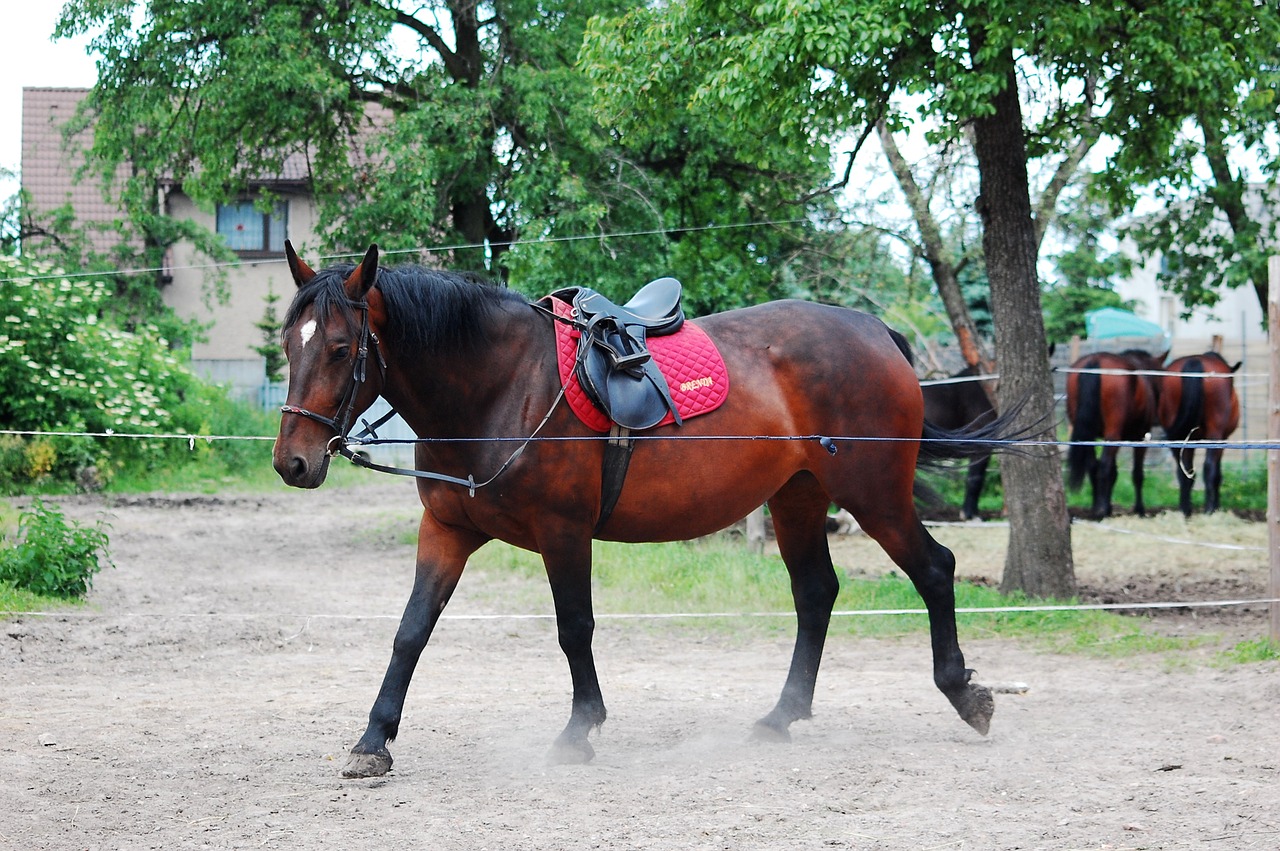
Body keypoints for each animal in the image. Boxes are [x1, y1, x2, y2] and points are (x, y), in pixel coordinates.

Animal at [1064, 348, 1167, 516]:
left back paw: (1097, 507)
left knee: (1093, 466)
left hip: (1088, 435)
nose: (1158, 419)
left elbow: (1113, 472)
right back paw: (1100, 509)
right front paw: (1139, 509)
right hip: (1114, 435)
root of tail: (1095, 360)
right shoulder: (1140, 438)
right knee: (1104, 466)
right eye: (1162, 380)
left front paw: (1108, 505)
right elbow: (1137, 474)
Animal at [1162, 350, 1239, 514]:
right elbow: (1217, 473)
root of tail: (1195, 361)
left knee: (1183, 471)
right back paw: (1208, 510)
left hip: (1178, 436)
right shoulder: (1222, 439)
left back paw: (1185, 510)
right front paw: (1215, 505)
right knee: (1209, 468)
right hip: (1215, 434)